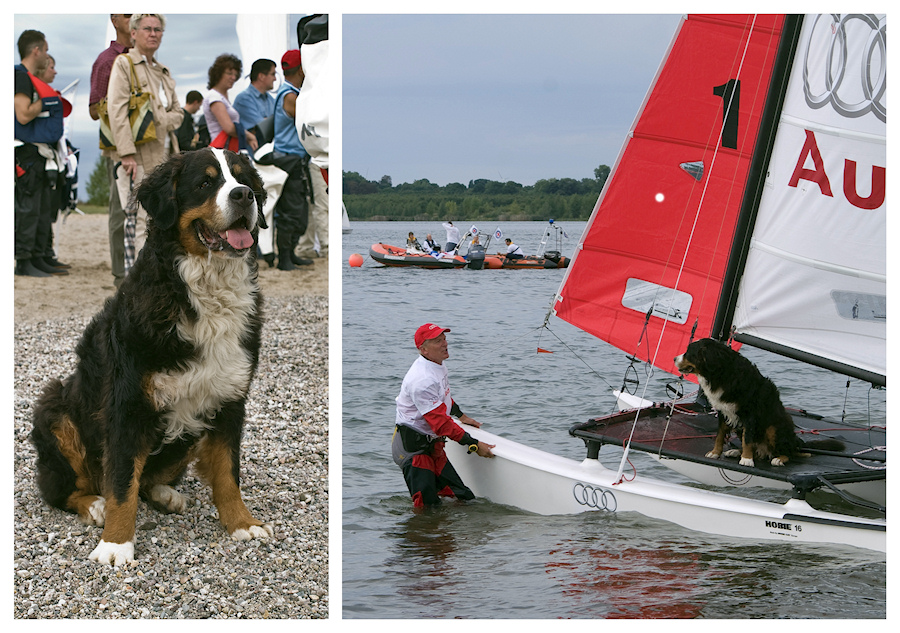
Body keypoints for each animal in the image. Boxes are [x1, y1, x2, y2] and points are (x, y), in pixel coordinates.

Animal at [30, 149, 274, 568]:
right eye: (205, 182)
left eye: (245, 181)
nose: (243, 196)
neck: (205, 291)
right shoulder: (127, 404)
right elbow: (122, 482)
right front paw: (115, 544)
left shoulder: (229, 399)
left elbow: (228, 472)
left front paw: (242, 523)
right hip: (55, 408)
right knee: (65, 489)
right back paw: (95, 505)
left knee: (148, 480)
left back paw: (166, 494)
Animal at [672, 338, 840, 466]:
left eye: (689, 352)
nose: (674, 358)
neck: (722, 374)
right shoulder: (723, 412)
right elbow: (720, 435)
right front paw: (715, 452)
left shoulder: (750, 414)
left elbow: (748, 439)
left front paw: (746, 459)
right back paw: (735, 451)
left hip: (773, 428)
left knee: (790, 452)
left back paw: (779, 459)